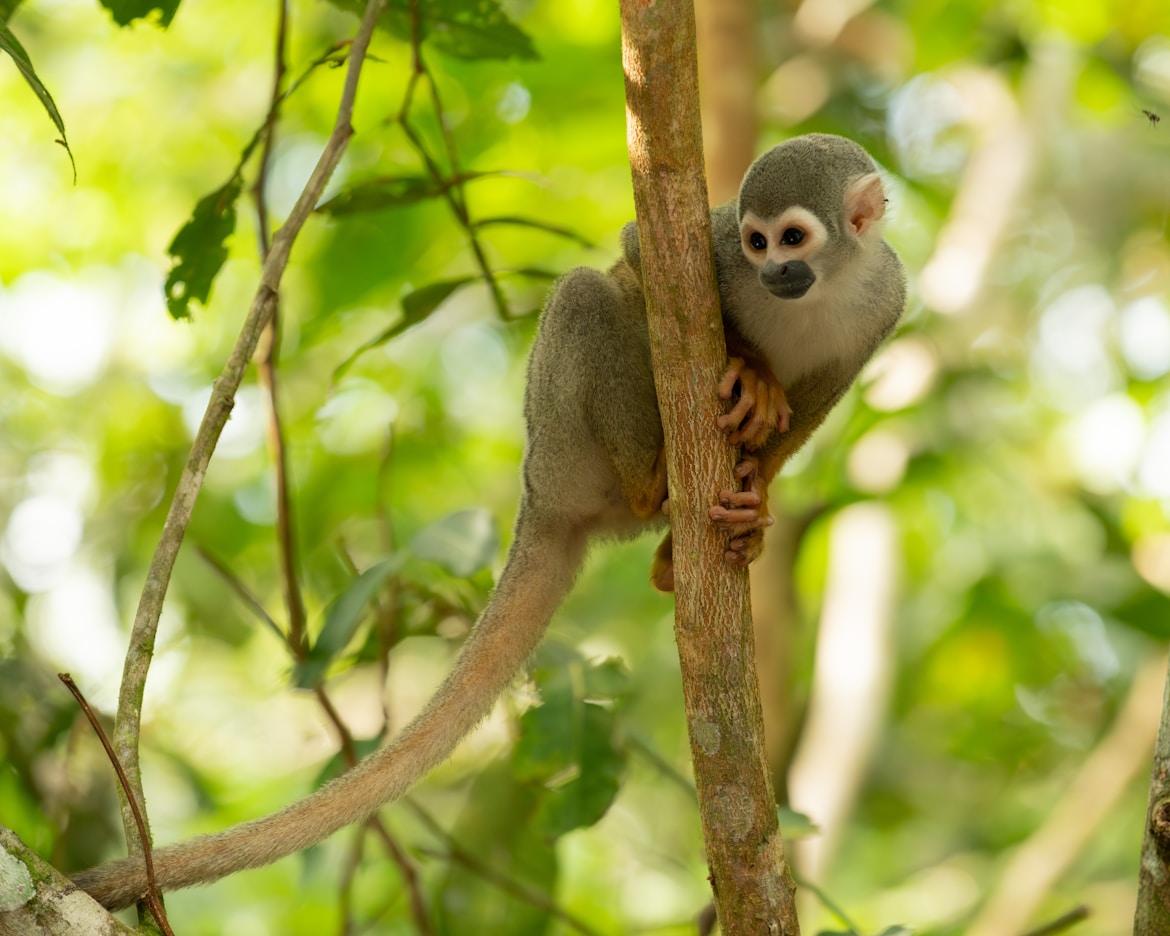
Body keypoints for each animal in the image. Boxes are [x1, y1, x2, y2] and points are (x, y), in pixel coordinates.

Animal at [75, 131, 903, 907]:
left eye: (793, 239)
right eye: (759, 242)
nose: (774, 274)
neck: (822, 290)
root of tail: (546, 502)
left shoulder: (885, 302)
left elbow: (829, 385)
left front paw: (756, 488)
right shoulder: (719, 252)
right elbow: (641, 255)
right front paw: (753, 369)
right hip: (562, 441)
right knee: (588, 295)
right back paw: (654, 484)